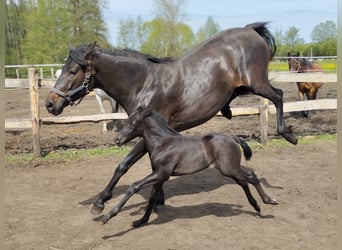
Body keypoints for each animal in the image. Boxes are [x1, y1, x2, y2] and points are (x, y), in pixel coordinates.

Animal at [96, 105, 278, 227]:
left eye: (133, 122)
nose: (117, 140)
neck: (163, 143)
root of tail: (233, 138)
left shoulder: (162, 173)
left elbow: (133, 187)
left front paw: (107, 216)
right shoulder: (158, 175)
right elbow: (152, 198)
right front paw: (141, 221)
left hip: (229, 169)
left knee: (251, 176)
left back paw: (270, 200)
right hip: (230, 169)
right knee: (244, 181)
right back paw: (256, 206)